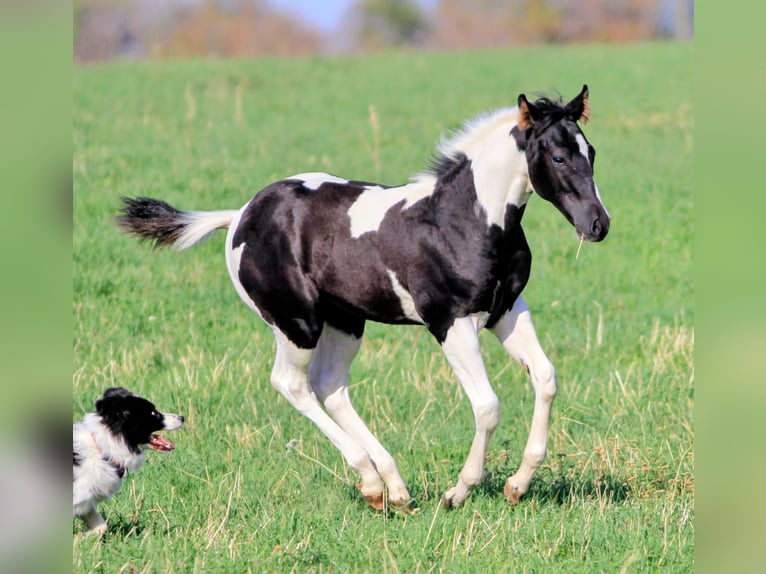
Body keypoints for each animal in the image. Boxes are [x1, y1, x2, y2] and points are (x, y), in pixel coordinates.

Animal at [116, 85, 610, 510]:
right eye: (558, 156)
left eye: (591, 153)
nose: (597, 224)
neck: (463, 219)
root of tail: (239, 214)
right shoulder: (449, 322)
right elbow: (487, 406)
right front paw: (459, 492)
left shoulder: (505, 311)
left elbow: (546, 378)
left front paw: (517, 485)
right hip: (297, 322)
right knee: (292, 384)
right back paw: (374, 481)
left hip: (346, 320)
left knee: (330, 385)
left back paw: (391, 487)